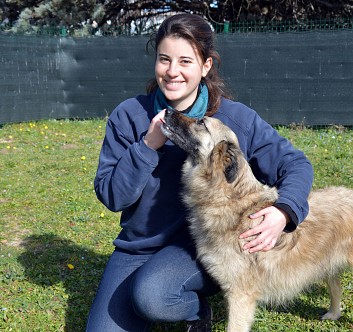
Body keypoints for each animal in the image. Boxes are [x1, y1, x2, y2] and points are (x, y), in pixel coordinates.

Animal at [160, 109, 352, 332]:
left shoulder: (240, 295)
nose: (167, 110)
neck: (230, 199)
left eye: (201, 122)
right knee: (336, 286)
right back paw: (334, 314)